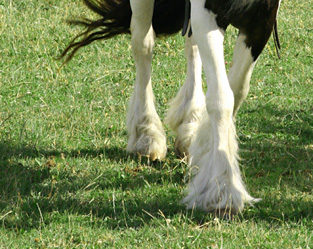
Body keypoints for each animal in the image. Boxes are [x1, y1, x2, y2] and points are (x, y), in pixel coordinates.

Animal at [61, 0, 280, 214]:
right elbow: (221, 98)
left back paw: (189, 123)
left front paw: (206, 148)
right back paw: (146, 133)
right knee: (143, 42)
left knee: (190, 44)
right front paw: (221, 188)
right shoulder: (207, 13)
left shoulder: (263, 17)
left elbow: (238, 89)